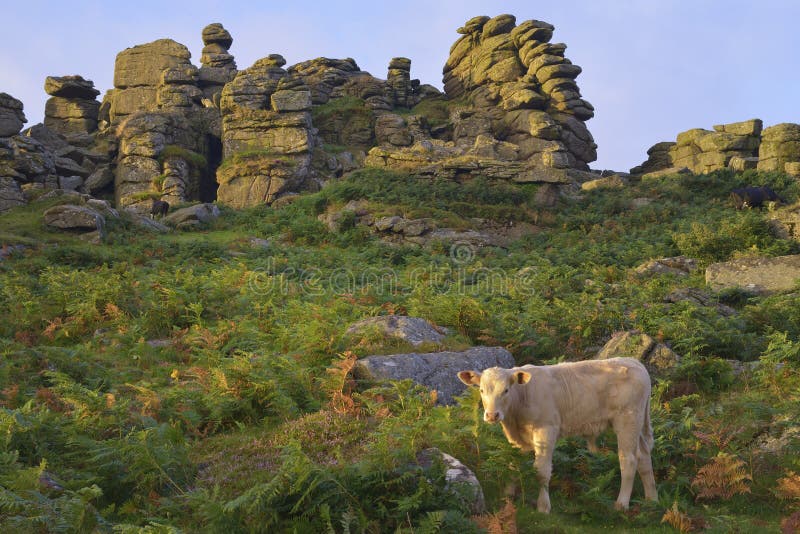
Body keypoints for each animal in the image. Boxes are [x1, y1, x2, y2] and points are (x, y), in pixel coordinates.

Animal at [460, 360, 660, 516]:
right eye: (482, 390)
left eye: (506, 390)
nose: (492, 415)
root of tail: (635, 363)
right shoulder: (516, 439)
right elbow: (512, 463)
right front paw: (508, 495)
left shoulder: (546, 430)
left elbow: (542, 471)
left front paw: (543, 506)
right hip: (637, 423)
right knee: (643, 456)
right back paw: (652, 499)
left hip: (627, 420)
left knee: (629, 460)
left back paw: (621, 504)